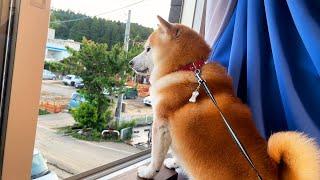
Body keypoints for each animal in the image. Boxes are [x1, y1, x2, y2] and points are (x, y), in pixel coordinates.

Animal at [130, 16, 320, 179]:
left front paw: (148, 173)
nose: (130, 62)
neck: (189, 68)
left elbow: (156, 157)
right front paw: (175, 163)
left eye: (148, 49)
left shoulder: (161, 125)